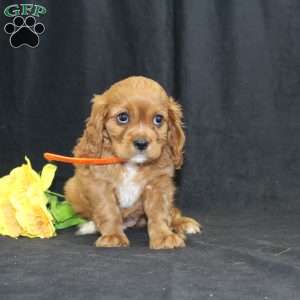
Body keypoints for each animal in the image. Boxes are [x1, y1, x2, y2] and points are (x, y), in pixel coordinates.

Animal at [65, 77, 202, 248]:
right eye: (123, 117)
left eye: (158, 119)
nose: (141, 143)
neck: (131, 164)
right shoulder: (100, 184)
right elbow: (108, 210)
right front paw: (113, 236)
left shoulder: (158, 184)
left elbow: (160, 212)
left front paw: (164, 236)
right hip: (71, 188)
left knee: (173, 211)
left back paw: (183, 223)